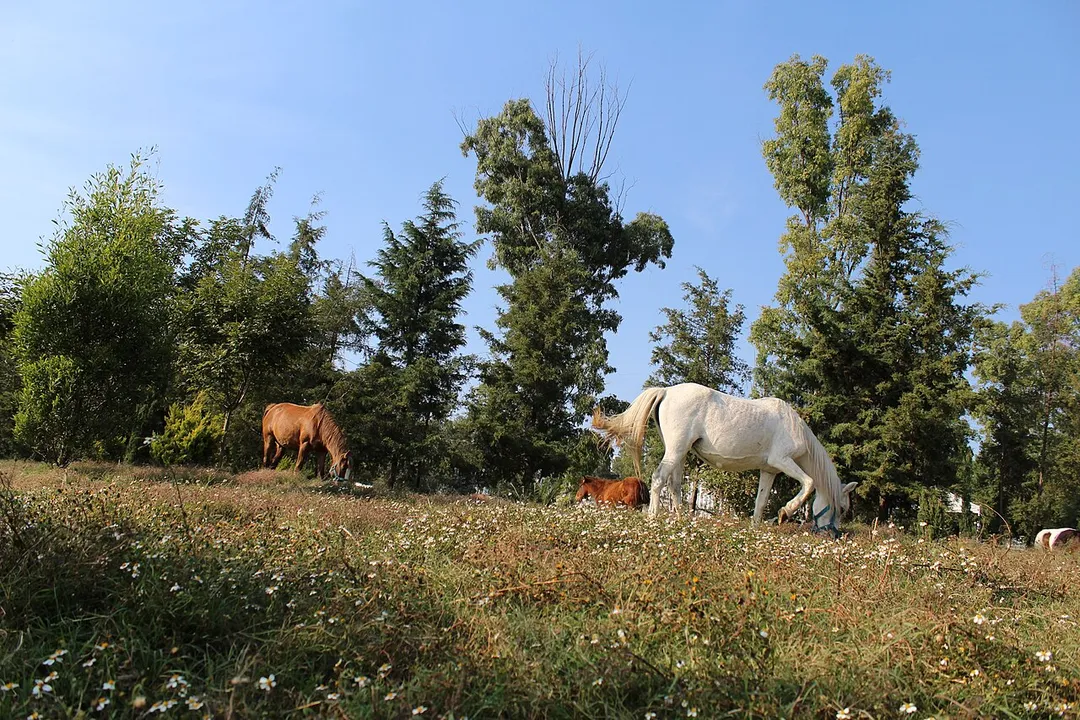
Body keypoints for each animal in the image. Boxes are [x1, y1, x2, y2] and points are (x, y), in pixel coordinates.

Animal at [591, 382, 857, 534]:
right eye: (842, 508)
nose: (832, 536)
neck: (794, 426)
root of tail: (666, 391)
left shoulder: (769, 470)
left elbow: (760, 502)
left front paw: (755, 529)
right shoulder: (783, 461)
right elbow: (809, 483)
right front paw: (785, 512)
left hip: (678, 452)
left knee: (674, 485)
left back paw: (681, 522)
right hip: (676, 450)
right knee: (659, 480)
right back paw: (654, 518)